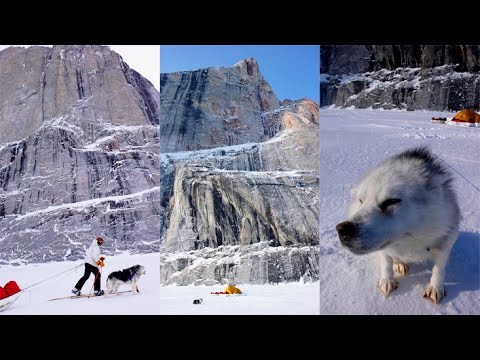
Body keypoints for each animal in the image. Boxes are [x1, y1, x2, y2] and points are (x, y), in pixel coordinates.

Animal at [336, 146, 460, 304]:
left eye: (391, 201)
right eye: (361, 201)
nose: (342, 230)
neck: (409, 242)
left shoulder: (446, 242)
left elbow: (439, 269)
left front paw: (436, 287)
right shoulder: (383, 250)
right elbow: (386, 263)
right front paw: (387, 280)